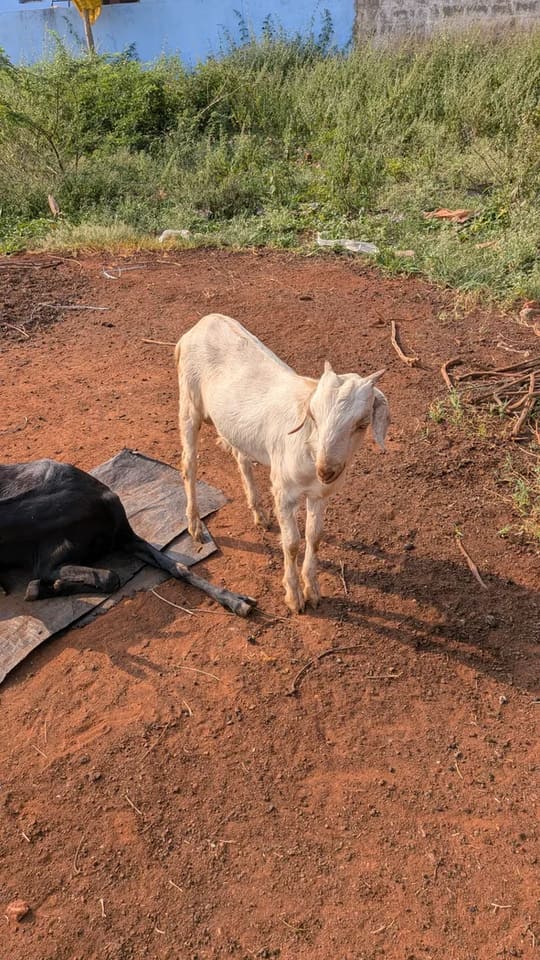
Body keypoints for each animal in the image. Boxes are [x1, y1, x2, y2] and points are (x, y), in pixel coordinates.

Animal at [0, 459, 256, 617]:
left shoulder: (125, 535)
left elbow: (179, 568)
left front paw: (233, 599)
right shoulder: (45, 564)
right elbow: (109, 576)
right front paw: (42, 588)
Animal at [176, 314, 389, 613]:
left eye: (362, 423)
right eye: (313, 415)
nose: (326, 470)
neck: (309, 451)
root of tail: (204, 322)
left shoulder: (321, 494)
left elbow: (315, 536)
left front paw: (313, 591)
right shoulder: (284, 491)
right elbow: (291, 543)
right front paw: (294, 597)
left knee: (241, 457)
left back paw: (259, 514)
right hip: (189, 402)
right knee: (189, 465)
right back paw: (195, 527)